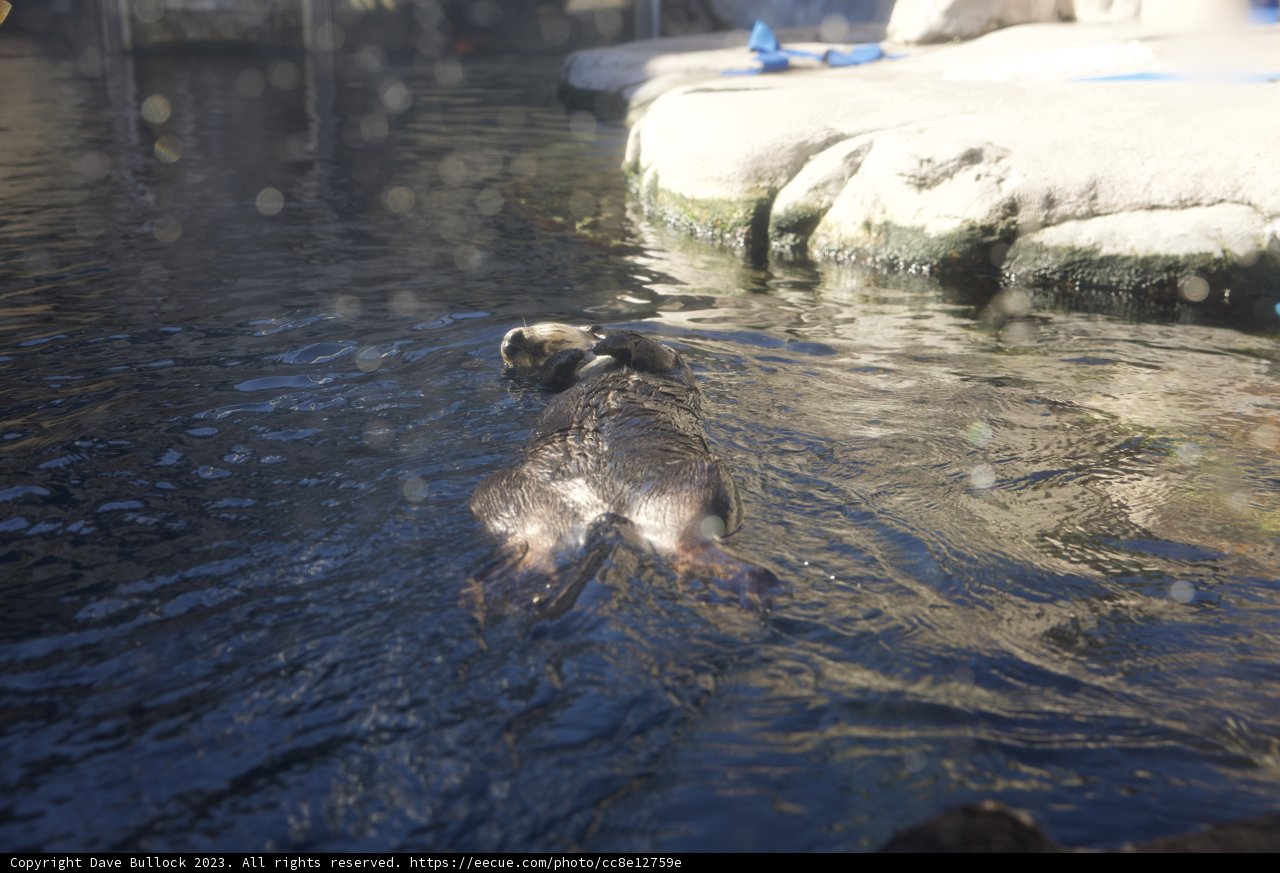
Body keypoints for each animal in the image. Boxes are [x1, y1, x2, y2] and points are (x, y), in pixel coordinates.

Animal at [469, 322, 777, 609]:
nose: (510, 343)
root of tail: (607, 513)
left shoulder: (671, 362)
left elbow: (653, 352)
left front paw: (606, 342)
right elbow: (551, 380)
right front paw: (570, 356)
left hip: (698, 477)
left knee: (691, 541)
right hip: (502, 492)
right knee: (535, 543)